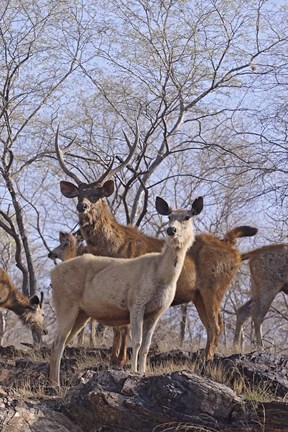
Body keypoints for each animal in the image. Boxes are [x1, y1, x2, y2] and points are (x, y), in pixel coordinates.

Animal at [49, 195, 202, 384]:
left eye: (187, 217)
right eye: (169, 216)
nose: (171, 230)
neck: (162, 275)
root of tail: (52, 275)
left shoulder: (157, 312)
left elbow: (146, 346)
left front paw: (143, 371)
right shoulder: (136, 303)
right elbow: (136, 341)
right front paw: (134, 371)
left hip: (82, 313)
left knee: (60, 342)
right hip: (65, 304)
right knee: (58, 342)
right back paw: (55, 383)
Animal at [55, 125, 258, 364]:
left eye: (97, 194)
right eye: (78, 194)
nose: (82, 206)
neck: (113, 248)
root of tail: (234, 250)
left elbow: (123, 327)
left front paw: (121, 360)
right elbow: (117, 327)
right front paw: (114, 358)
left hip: (214, 286)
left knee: (217, 325)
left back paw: (206, 360)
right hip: (199, 294)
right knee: (211, 325)